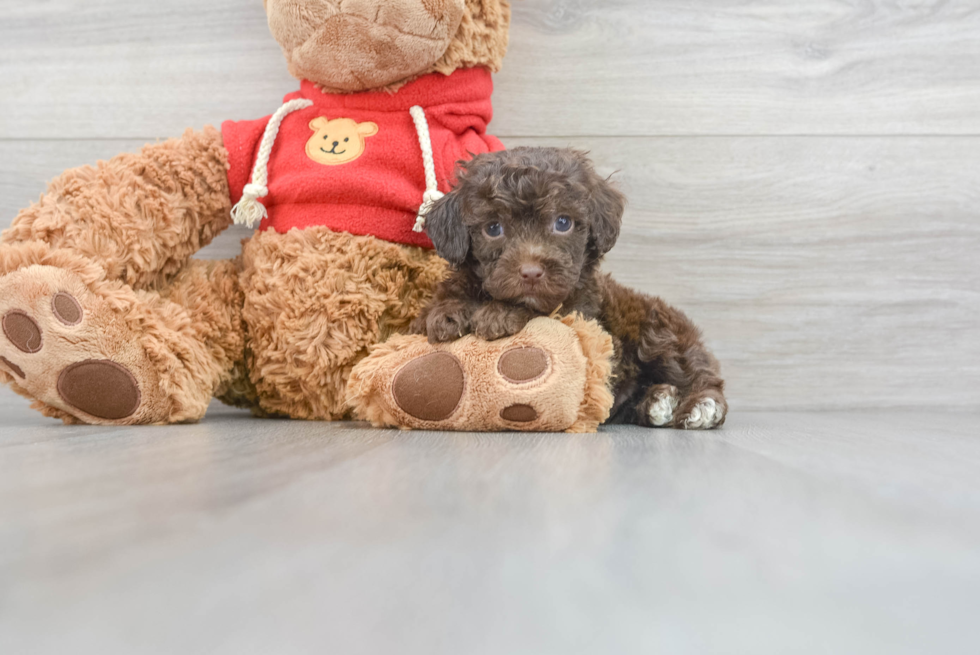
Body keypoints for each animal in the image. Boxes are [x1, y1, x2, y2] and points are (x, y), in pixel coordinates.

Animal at [414, 146, 728, 428]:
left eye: (562, 222)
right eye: (493, 228)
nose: (531, 272)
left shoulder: (579, 313)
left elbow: (542, 311)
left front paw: (500, 313)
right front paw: (446, 313)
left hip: (658, 333)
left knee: (696, 372)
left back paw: (701, 405)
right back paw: (657, 401)